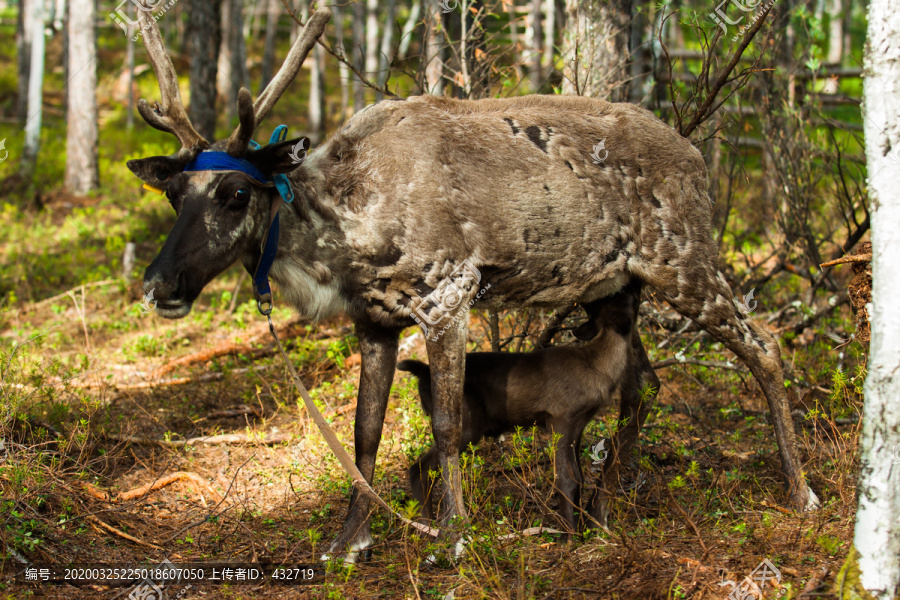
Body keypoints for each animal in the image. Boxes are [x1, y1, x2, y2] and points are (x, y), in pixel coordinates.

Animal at [400, 282, 648, 528]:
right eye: (622, 295)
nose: (634, 283)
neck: (598, 366)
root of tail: (422, 372)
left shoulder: (579, 423)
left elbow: (579, 477)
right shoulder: (561, 416)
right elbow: (566, 479)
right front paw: (570, 534)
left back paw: (426, 524)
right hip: (467, 423)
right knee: (420, 467)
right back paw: (428, 526)